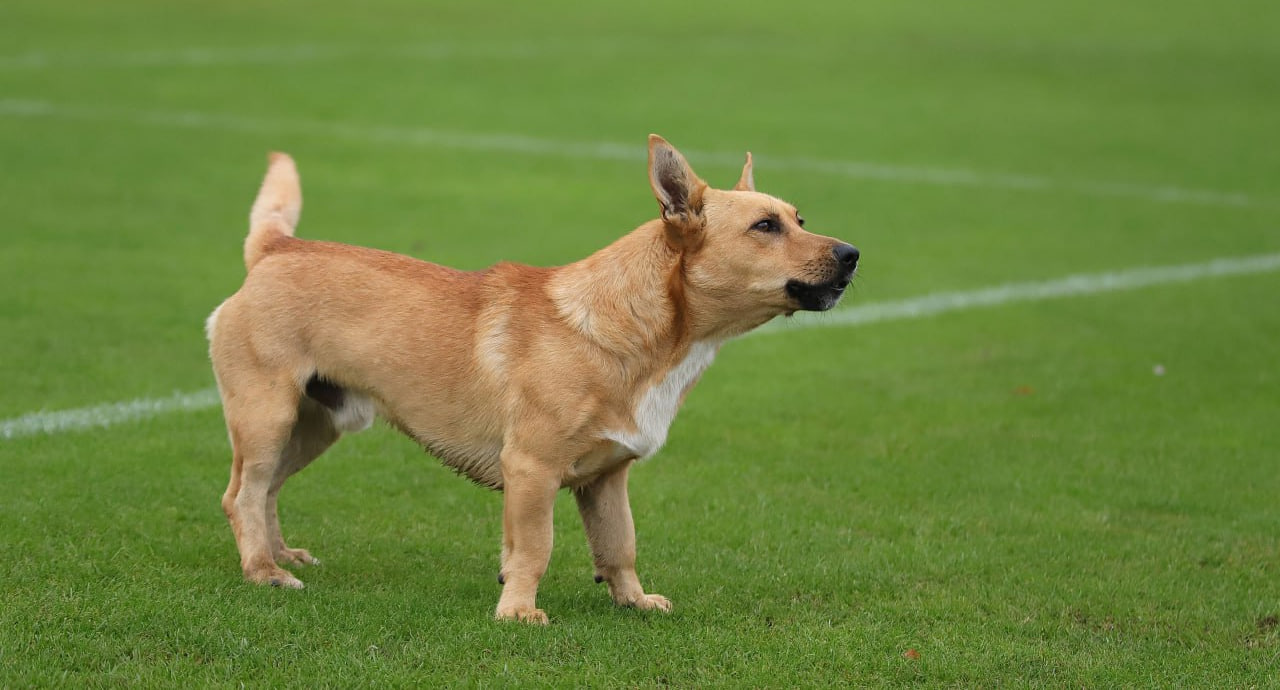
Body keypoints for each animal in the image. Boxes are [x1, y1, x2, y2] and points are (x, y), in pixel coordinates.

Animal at [204, 136, 855, 627]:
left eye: (799, 219)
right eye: (765, 226)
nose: (852, 253)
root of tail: (275, 248)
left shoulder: (608, 479)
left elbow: (619, 546)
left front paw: (635, 601)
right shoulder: (531, 470)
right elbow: (535, 548)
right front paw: (518, 612)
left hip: (315, 426)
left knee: (266, 493)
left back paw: (281, 555)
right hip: (266, 418)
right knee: (241, 495)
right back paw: (263, 573)